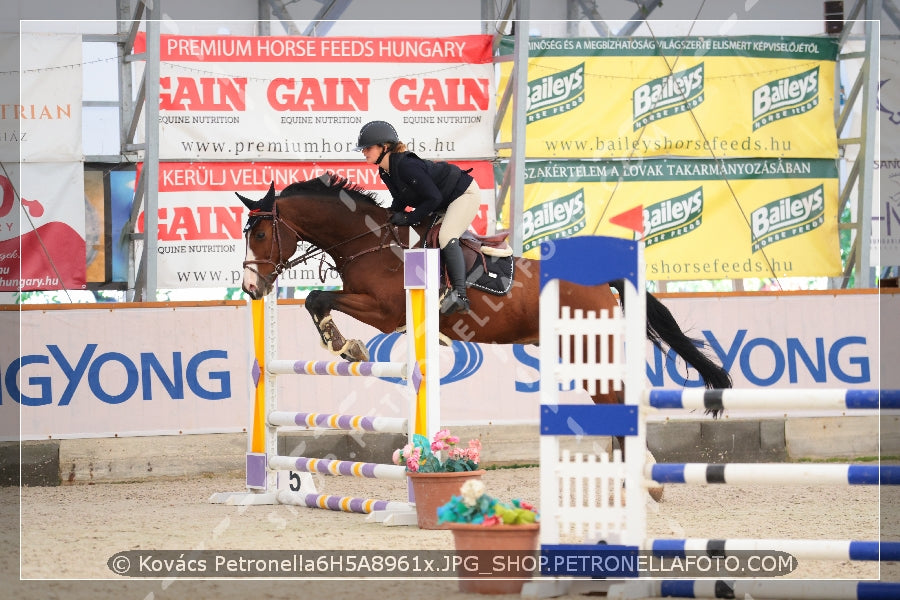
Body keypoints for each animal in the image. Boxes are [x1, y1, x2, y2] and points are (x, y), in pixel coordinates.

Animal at [237, 169, 732, 492]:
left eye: (259, 235)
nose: (250, 287)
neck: (370, 242)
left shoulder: (386, 310)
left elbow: (319, 299)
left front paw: (347, 346)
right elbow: (314, 299)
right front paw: (341, 345)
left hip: (588, 347)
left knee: (617, 399)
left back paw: (645, 477)